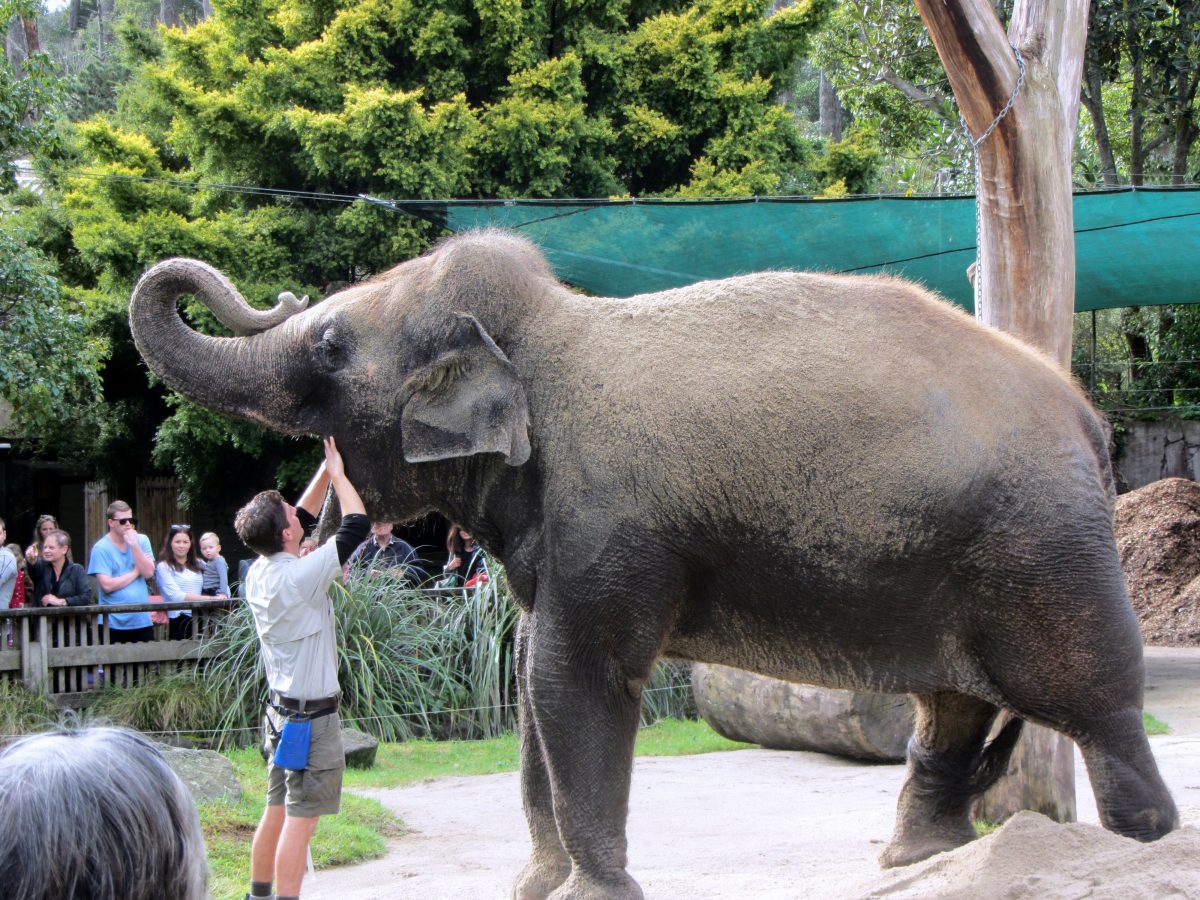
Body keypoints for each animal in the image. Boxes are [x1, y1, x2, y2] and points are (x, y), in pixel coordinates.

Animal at [126, 230, 1176, 900]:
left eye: (331, 344)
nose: (281, 294)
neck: (548, 335)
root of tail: (1087, 416)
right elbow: (531, 682)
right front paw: (539, 887)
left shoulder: (610, 523)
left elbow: (576, 679)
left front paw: (591, 893)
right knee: (952, 708)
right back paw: (915, 865)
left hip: (1047, 555)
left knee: (1097, 706)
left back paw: (1143, 848)